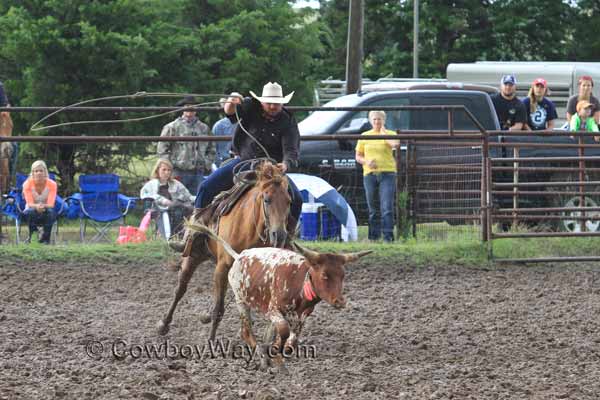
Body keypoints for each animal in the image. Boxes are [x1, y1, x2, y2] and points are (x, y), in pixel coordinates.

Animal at [158, 161, 292, 340]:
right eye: (267, 199)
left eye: (289, 201)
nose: (280, 235)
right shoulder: (222, 267)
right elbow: (219, 309)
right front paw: (211, 340)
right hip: (193, 255)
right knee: (180, 289)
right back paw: (164, 323)